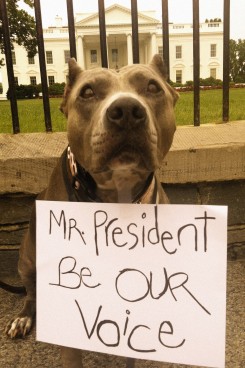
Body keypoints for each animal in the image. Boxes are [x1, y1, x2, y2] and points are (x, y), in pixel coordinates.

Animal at [5, 54, 178, 368]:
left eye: (152, 87)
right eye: (87, 92)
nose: (126, 110)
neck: (116, 200)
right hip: (27, 259)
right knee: (31, 294)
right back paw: (23, 318)